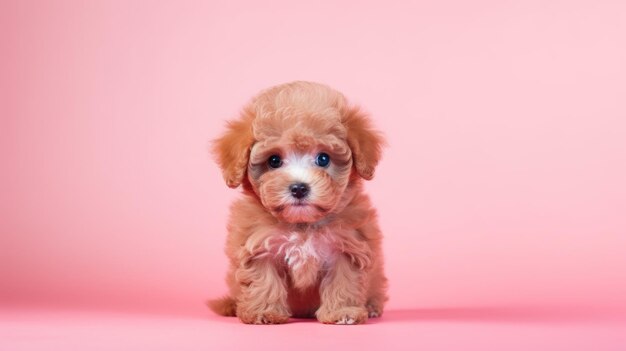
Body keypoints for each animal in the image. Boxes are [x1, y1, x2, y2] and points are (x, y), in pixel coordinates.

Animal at [208, 81, 386, 326]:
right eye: (274, 160)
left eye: (323, 158)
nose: (299, 188)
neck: (303, 226)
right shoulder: (259, 245)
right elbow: (264, 281)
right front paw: (264, 313)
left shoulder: (347, 246)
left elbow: (343, 281)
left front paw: (343, 312)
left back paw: (371, 306)